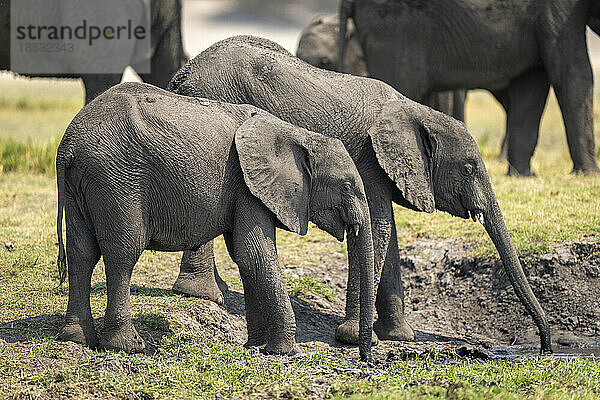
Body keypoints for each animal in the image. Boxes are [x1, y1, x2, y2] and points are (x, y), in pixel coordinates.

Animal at [56, 83, 376, 360]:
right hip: (117, 180)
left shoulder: (244, 188)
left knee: (81, 253)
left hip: (80, 186)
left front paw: (254, 345)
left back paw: (75, 339)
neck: (298, 134)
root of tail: (67, 146)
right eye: (347, 186)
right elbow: (254, 254)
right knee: (122, 254)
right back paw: (126, 346)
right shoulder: (248, 187)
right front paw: (284, 352)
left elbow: (245, 257)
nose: (366, 358)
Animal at [166, 34, 552, 354]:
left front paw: (400, 337)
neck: (413, 110)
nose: (545, 348)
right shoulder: (368, 159)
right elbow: (378, 229)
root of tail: (181, 76)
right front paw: (355, 338)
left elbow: (388, 233)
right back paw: (202, 294)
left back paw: (213, 292)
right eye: (470, 168)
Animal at [340, 0, 600, 175]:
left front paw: (524, 176)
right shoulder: (558, 10)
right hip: (395, 29)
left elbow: (531, 86)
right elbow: (572, 71)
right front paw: (588, 174)